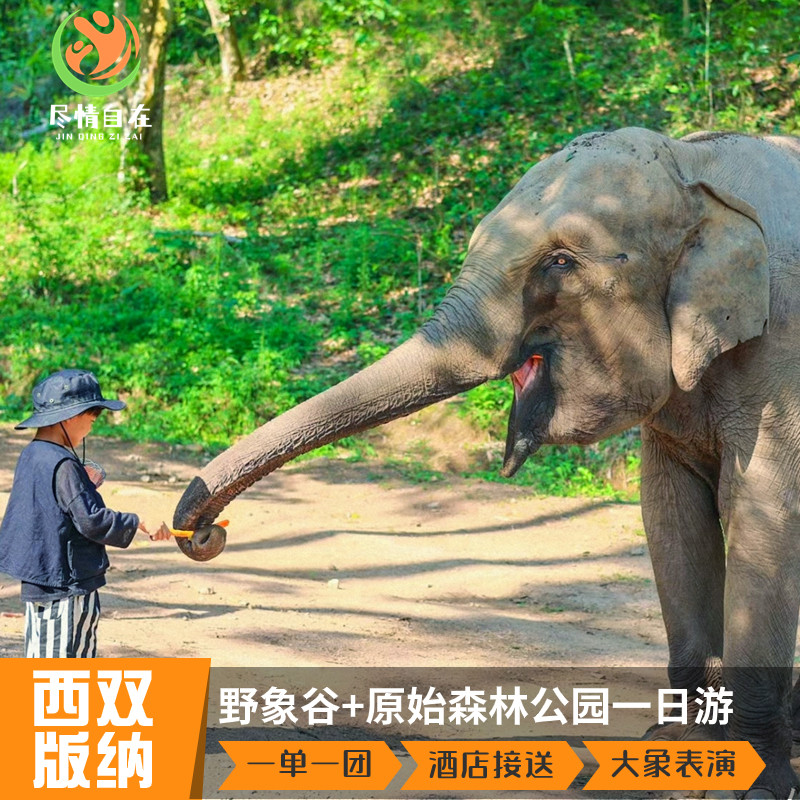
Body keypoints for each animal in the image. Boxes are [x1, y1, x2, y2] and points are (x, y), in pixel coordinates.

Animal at [174, 126, 800, 798]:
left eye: (560, 262)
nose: (205, 532)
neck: (697, 167)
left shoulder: (782, 359)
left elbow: (763, 513)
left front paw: (751, 781)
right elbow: (671, 515)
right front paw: (676, 755)